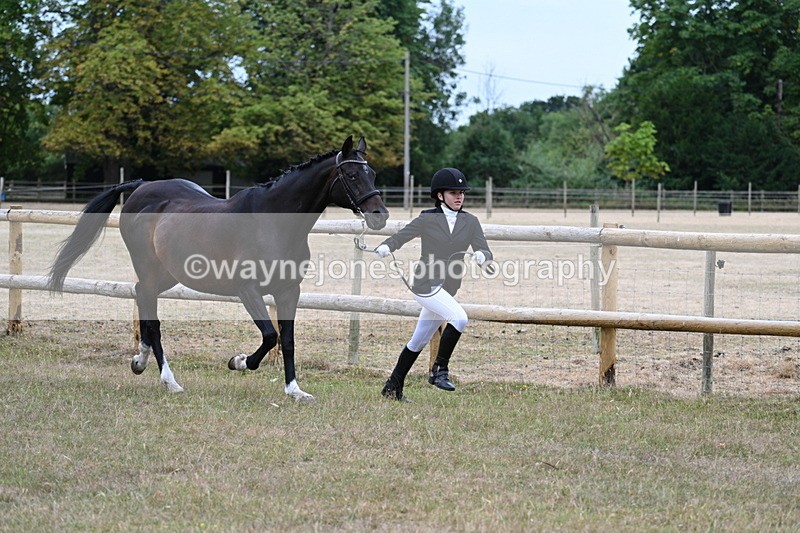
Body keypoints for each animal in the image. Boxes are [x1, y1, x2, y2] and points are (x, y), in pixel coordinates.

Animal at [48, 136, 389, 402]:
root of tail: (142, 188)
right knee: (153, 318)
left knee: (141, 298)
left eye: (372, 173)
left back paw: (139, 360)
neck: (272, 222)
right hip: (149, 269)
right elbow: (270, 336)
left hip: (167, 274)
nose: (380, 215)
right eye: (353, 176)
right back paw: (170, 381)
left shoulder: (288, 291)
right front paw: (238, 361)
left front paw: (295, 391)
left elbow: (288, 341)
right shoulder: (248, 290)